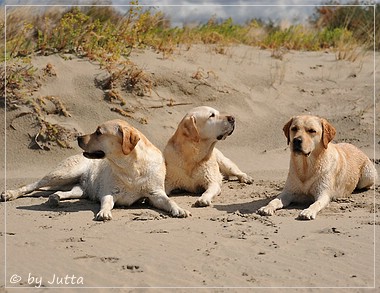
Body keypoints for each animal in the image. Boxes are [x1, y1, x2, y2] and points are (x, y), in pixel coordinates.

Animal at [0, 118, 190, 219]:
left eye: (98, 132)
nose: (78, 137)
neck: (132, 167)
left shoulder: (156, 194)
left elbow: (169, 201)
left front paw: (179, 209)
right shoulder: (108, 192)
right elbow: (106, 202)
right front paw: (104, 212)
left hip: (79, 189)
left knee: (63, 192)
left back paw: (55, 198)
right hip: (64, 173)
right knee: (33, 185)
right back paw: (10, 194)